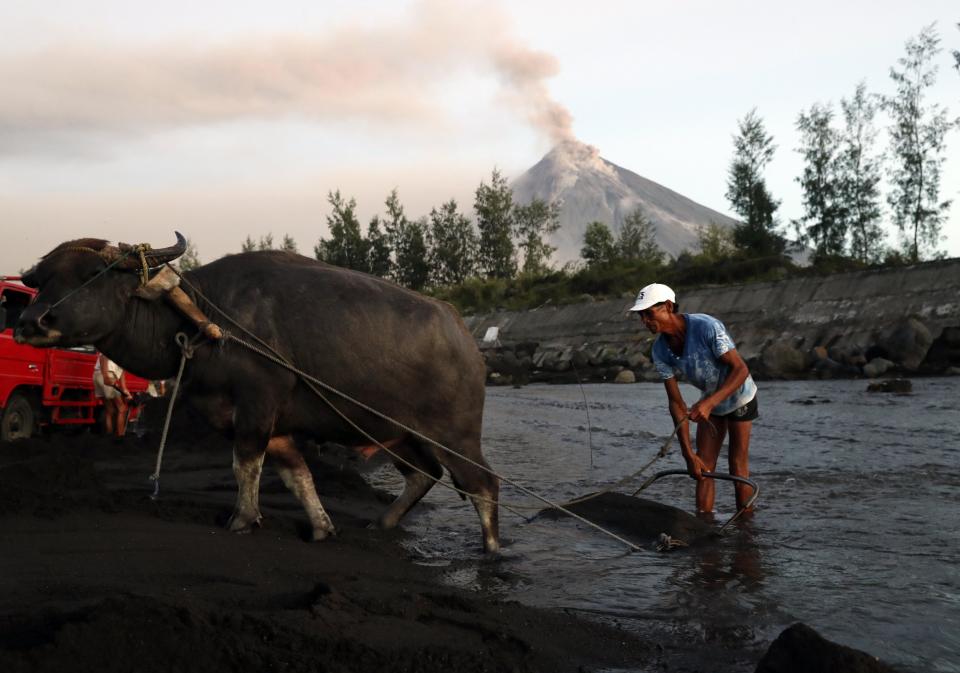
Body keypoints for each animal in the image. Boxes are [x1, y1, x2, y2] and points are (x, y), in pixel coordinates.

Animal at [16, 235, 502, 552]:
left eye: (93, 273)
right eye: (42, 279)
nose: (30, 321)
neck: (204, 320)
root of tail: (466, 339)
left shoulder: (257, 404)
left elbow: (245, 464)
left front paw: (241, 519)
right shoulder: (276, 425)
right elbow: (297, 475)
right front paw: (322, 527)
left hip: (456, 434)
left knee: (483, 484)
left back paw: (492, 550)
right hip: (398, 433)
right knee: (424, 474)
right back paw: (382, 522)